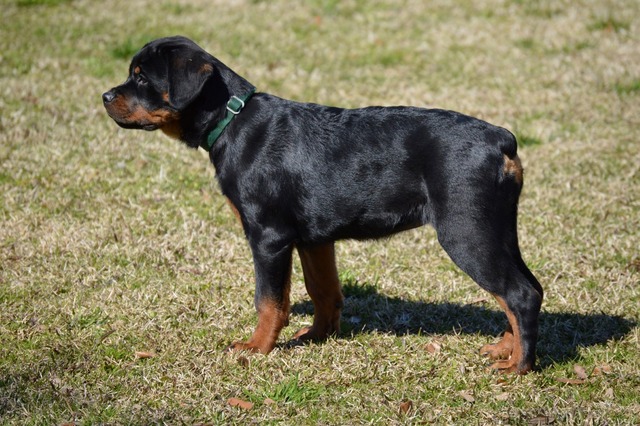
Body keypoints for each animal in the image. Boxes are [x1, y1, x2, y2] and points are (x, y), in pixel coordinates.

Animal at [102, 37, 544, 376]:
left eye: (141, 77)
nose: (105, 96)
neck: (232, 121)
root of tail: (500, 139)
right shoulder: (314, 239)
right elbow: (323, 290)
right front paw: (318, 336)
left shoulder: (269, 237)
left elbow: (269, 300)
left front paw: (256, 348)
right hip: (497, 228)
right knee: (527, 289)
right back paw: (506, 348)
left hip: (465, 230)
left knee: (518, 293)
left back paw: (518, 367)